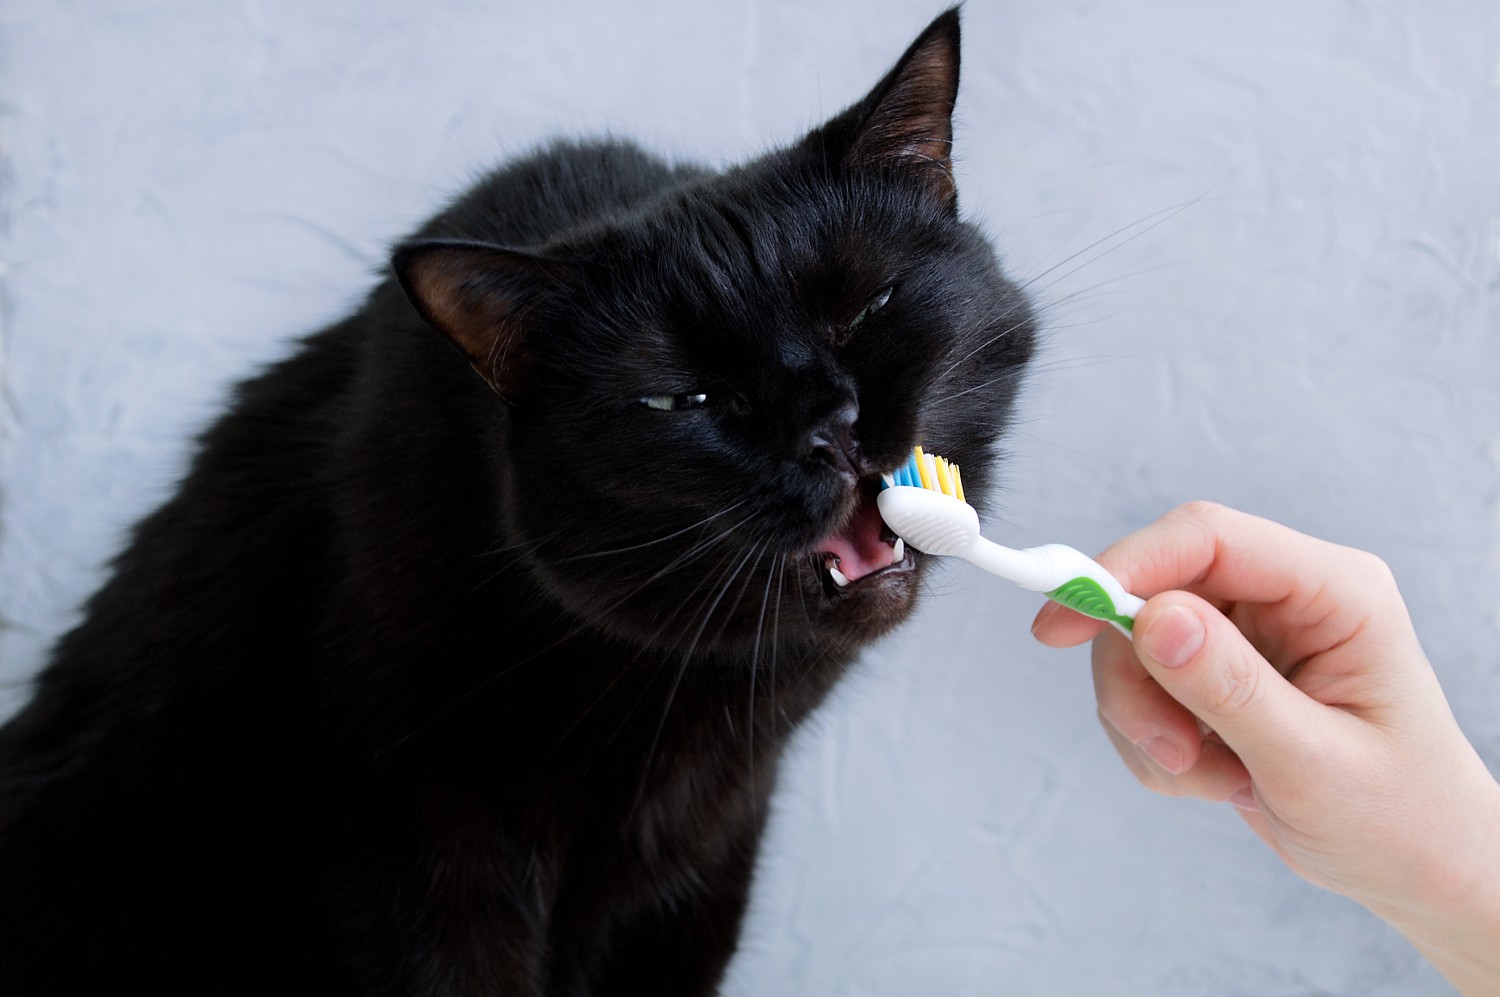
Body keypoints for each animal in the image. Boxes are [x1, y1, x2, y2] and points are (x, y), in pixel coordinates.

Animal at [0, 9, 1032, 995]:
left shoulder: (707, 861)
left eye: (867, 310)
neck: (678, 688)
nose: (830, 427)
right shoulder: (416, 853)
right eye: (687, 401)